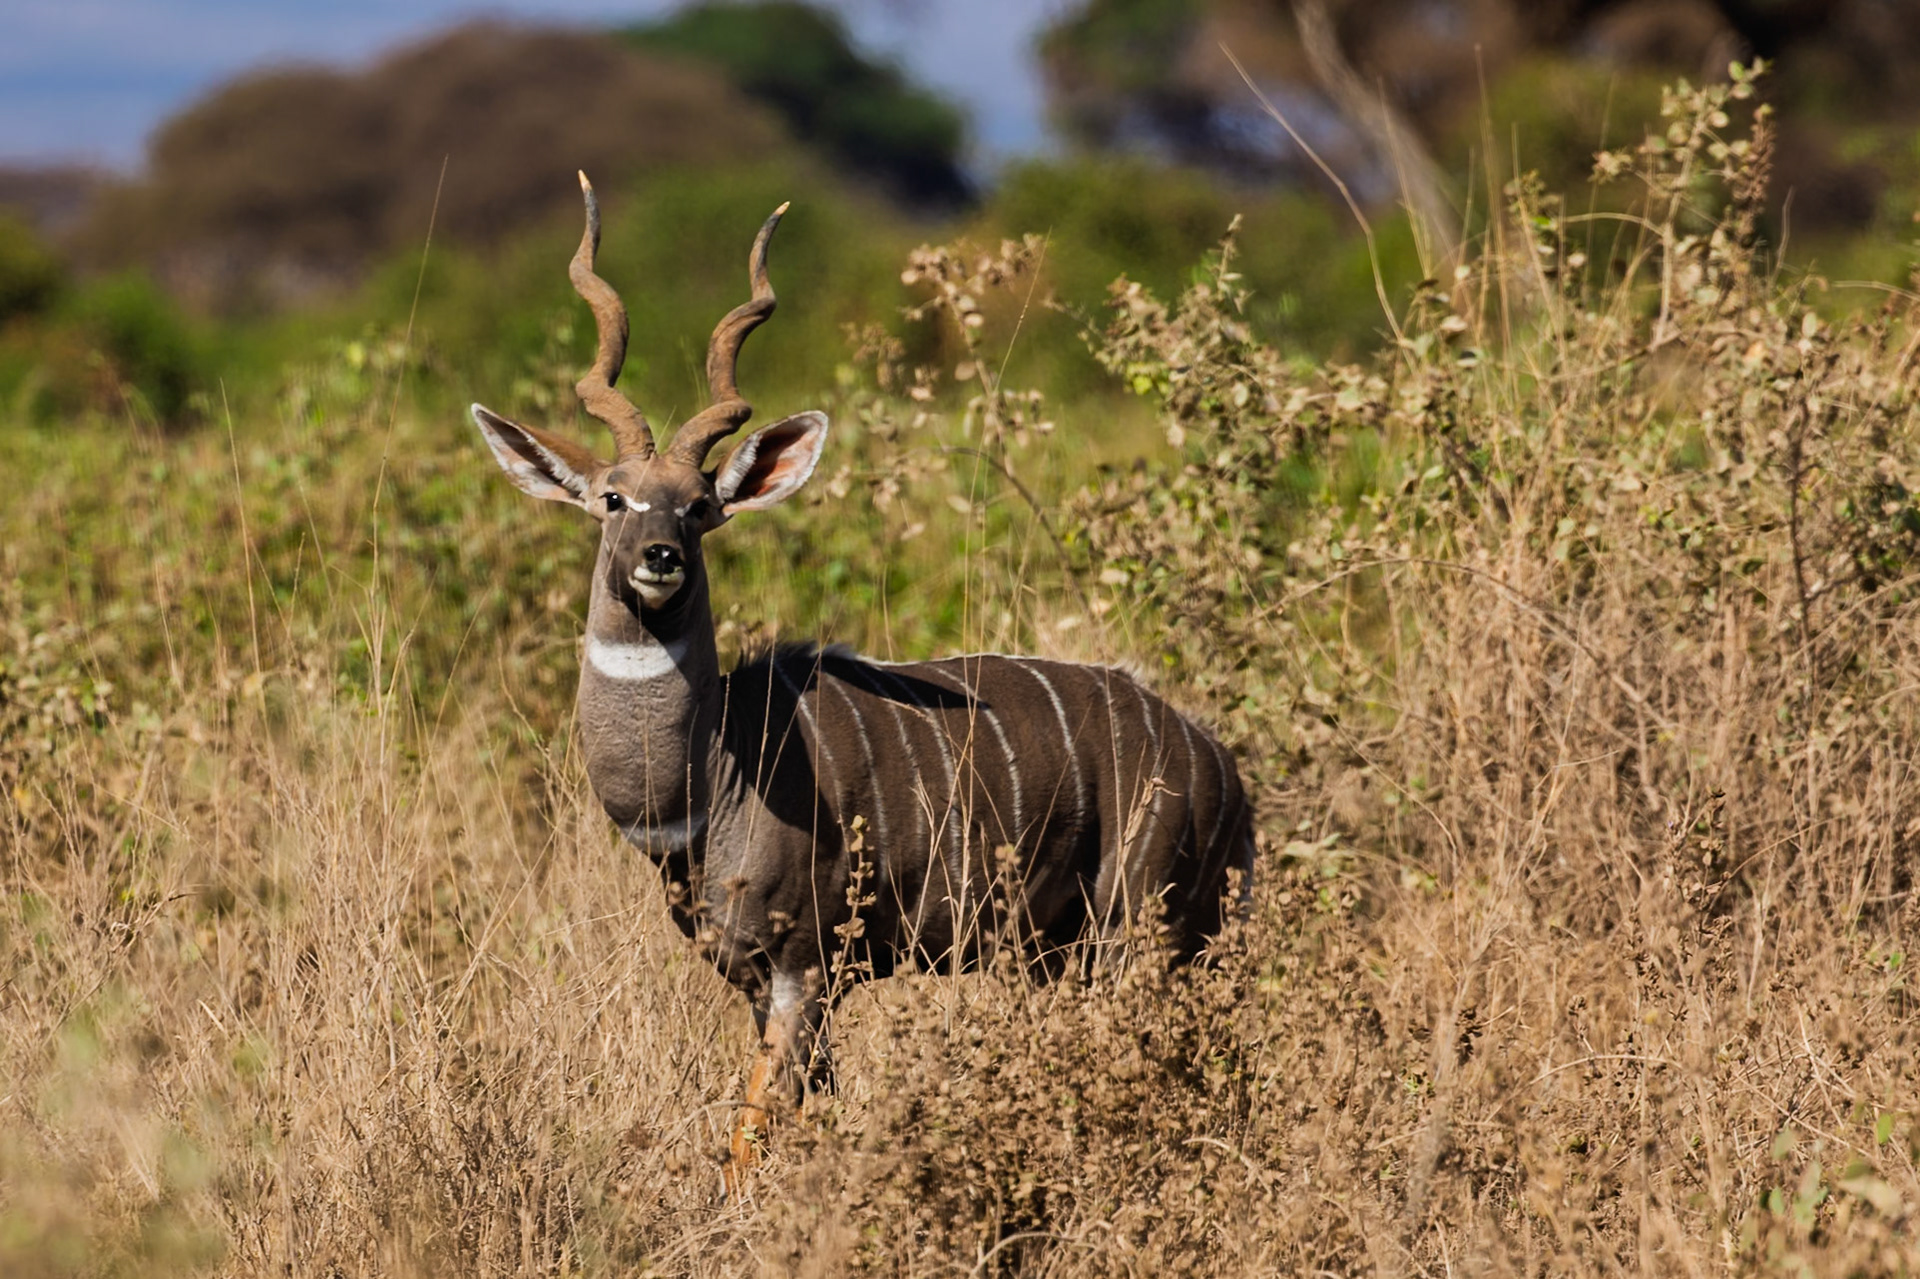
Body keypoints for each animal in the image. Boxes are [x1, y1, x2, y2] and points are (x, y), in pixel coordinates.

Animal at [469, 174, 1254, 1186]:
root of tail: (1223, 768)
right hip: (1069, 953)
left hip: (1141, 934)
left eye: (701, 506)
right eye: (613, 496)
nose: (657, 558)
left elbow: (752, 1137)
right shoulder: (759, 977)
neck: (710, 781)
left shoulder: (806, 962)